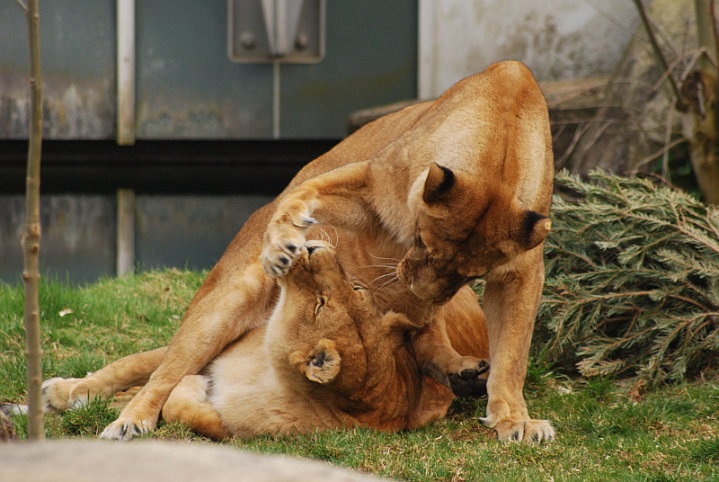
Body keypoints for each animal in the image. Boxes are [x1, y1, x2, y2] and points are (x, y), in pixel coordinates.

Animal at [43, 240, 487, 438]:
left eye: (320, 303)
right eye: (357, 288)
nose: (315, 247)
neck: (265, 374)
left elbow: (190, 409)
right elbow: (141, 370)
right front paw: (68, 393)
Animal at [97, 60, 554, 443]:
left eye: (470, 275)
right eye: (422, 241)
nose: (420, 290)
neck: (499, 145)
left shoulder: (522, 272)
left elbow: (513, 353)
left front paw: (513, 419)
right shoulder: (371, 181)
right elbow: (309, 192)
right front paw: (282, 240)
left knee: (427, 339)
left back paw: (461, 370)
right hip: (220, 311)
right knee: (163, 372)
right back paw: (129, 420)